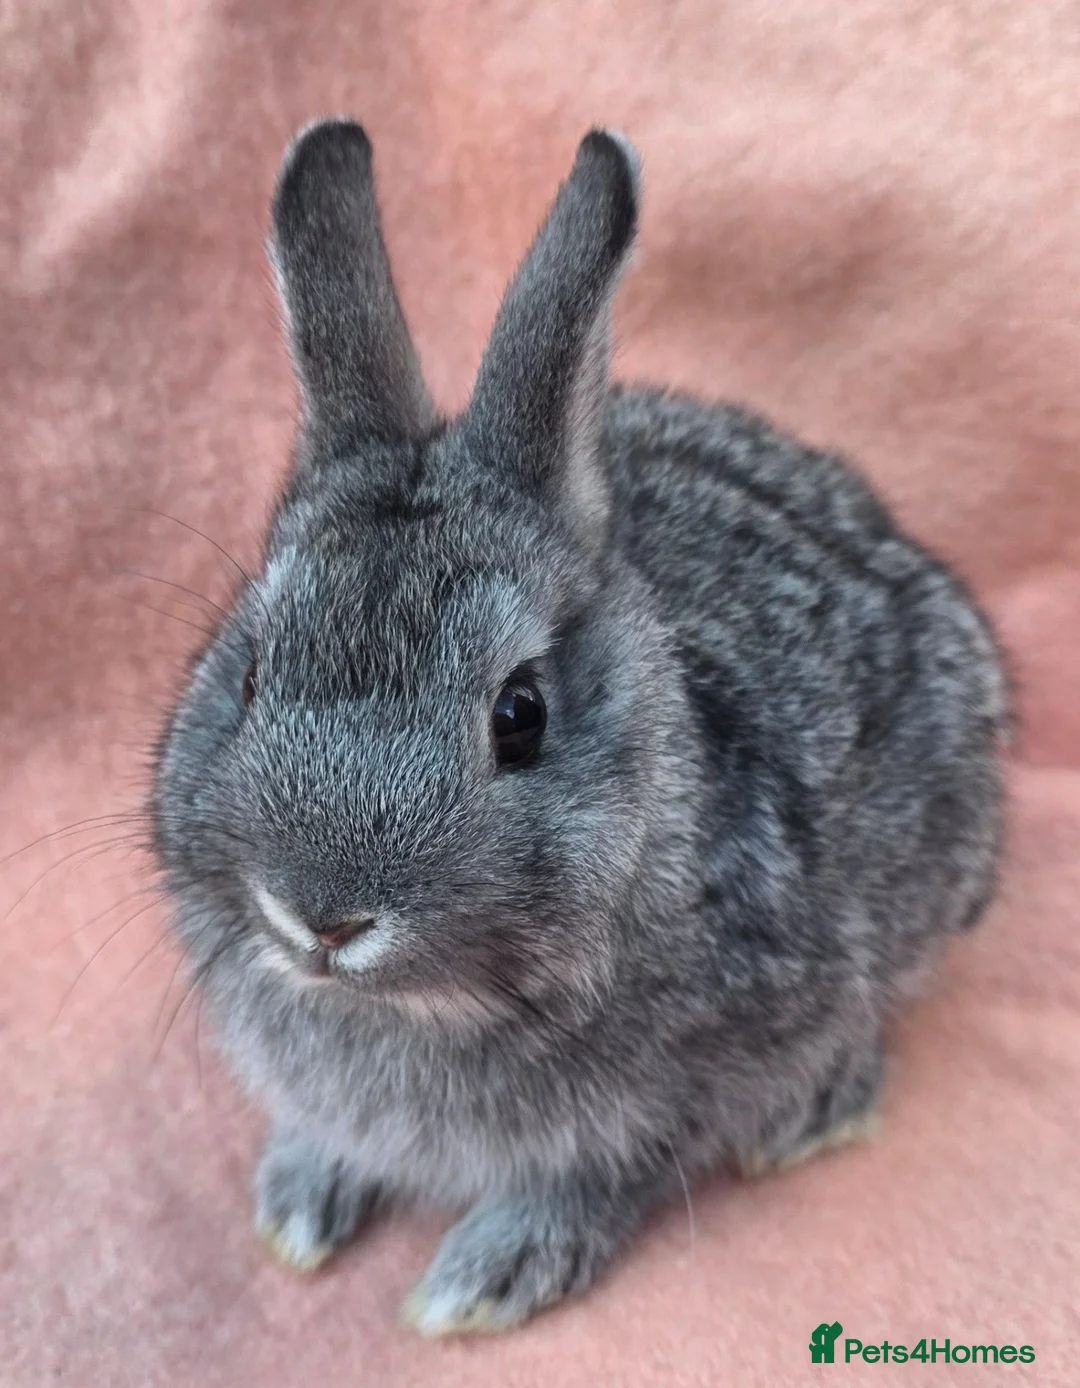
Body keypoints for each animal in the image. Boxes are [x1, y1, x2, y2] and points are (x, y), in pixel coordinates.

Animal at [152, 118, 1008, 1336]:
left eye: (521, 716)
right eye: (256, 670)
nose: (318, 915)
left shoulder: (686, 1086)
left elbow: (610, 1176)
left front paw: (485, 1278)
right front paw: (300, 1200)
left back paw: (815, 1114)